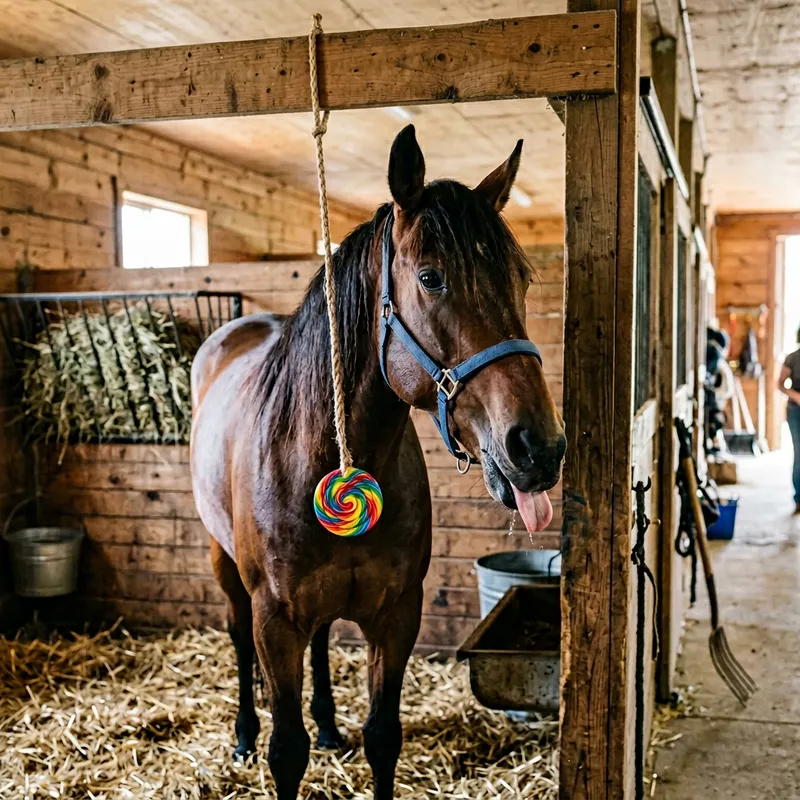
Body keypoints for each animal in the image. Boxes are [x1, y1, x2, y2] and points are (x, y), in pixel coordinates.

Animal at [190, 124, 566, 800]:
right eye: (432, 277)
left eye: (522, 279)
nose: (539, 448)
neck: (321, 456)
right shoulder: (273, 620)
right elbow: (286, 751)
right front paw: (271, 739)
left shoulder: (397, 615)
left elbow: (383, 736)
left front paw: (339, 729)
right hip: (223, 566)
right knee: (235, 639)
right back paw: (242, 734)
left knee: (319, 645)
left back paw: (327, 724)